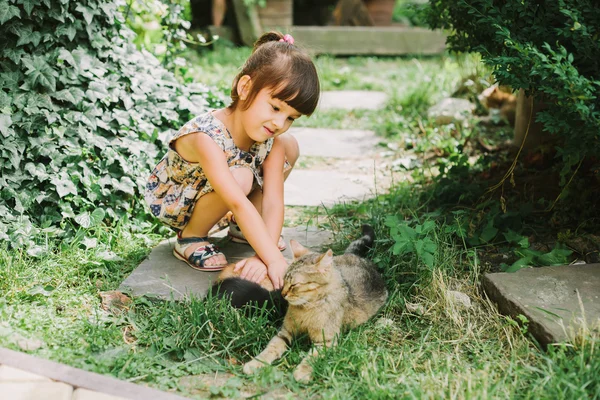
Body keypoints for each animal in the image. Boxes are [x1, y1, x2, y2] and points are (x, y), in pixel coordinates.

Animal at [237, 223, 386, 382]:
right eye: (284, 280)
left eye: (294, 285)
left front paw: (302, 372)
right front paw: (255, 363)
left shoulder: (326, 341)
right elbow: (271, 347)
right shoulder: (285, 331)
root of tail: (358, 257)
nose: (283, 294)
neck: (307, 308)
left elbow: (312, 357)